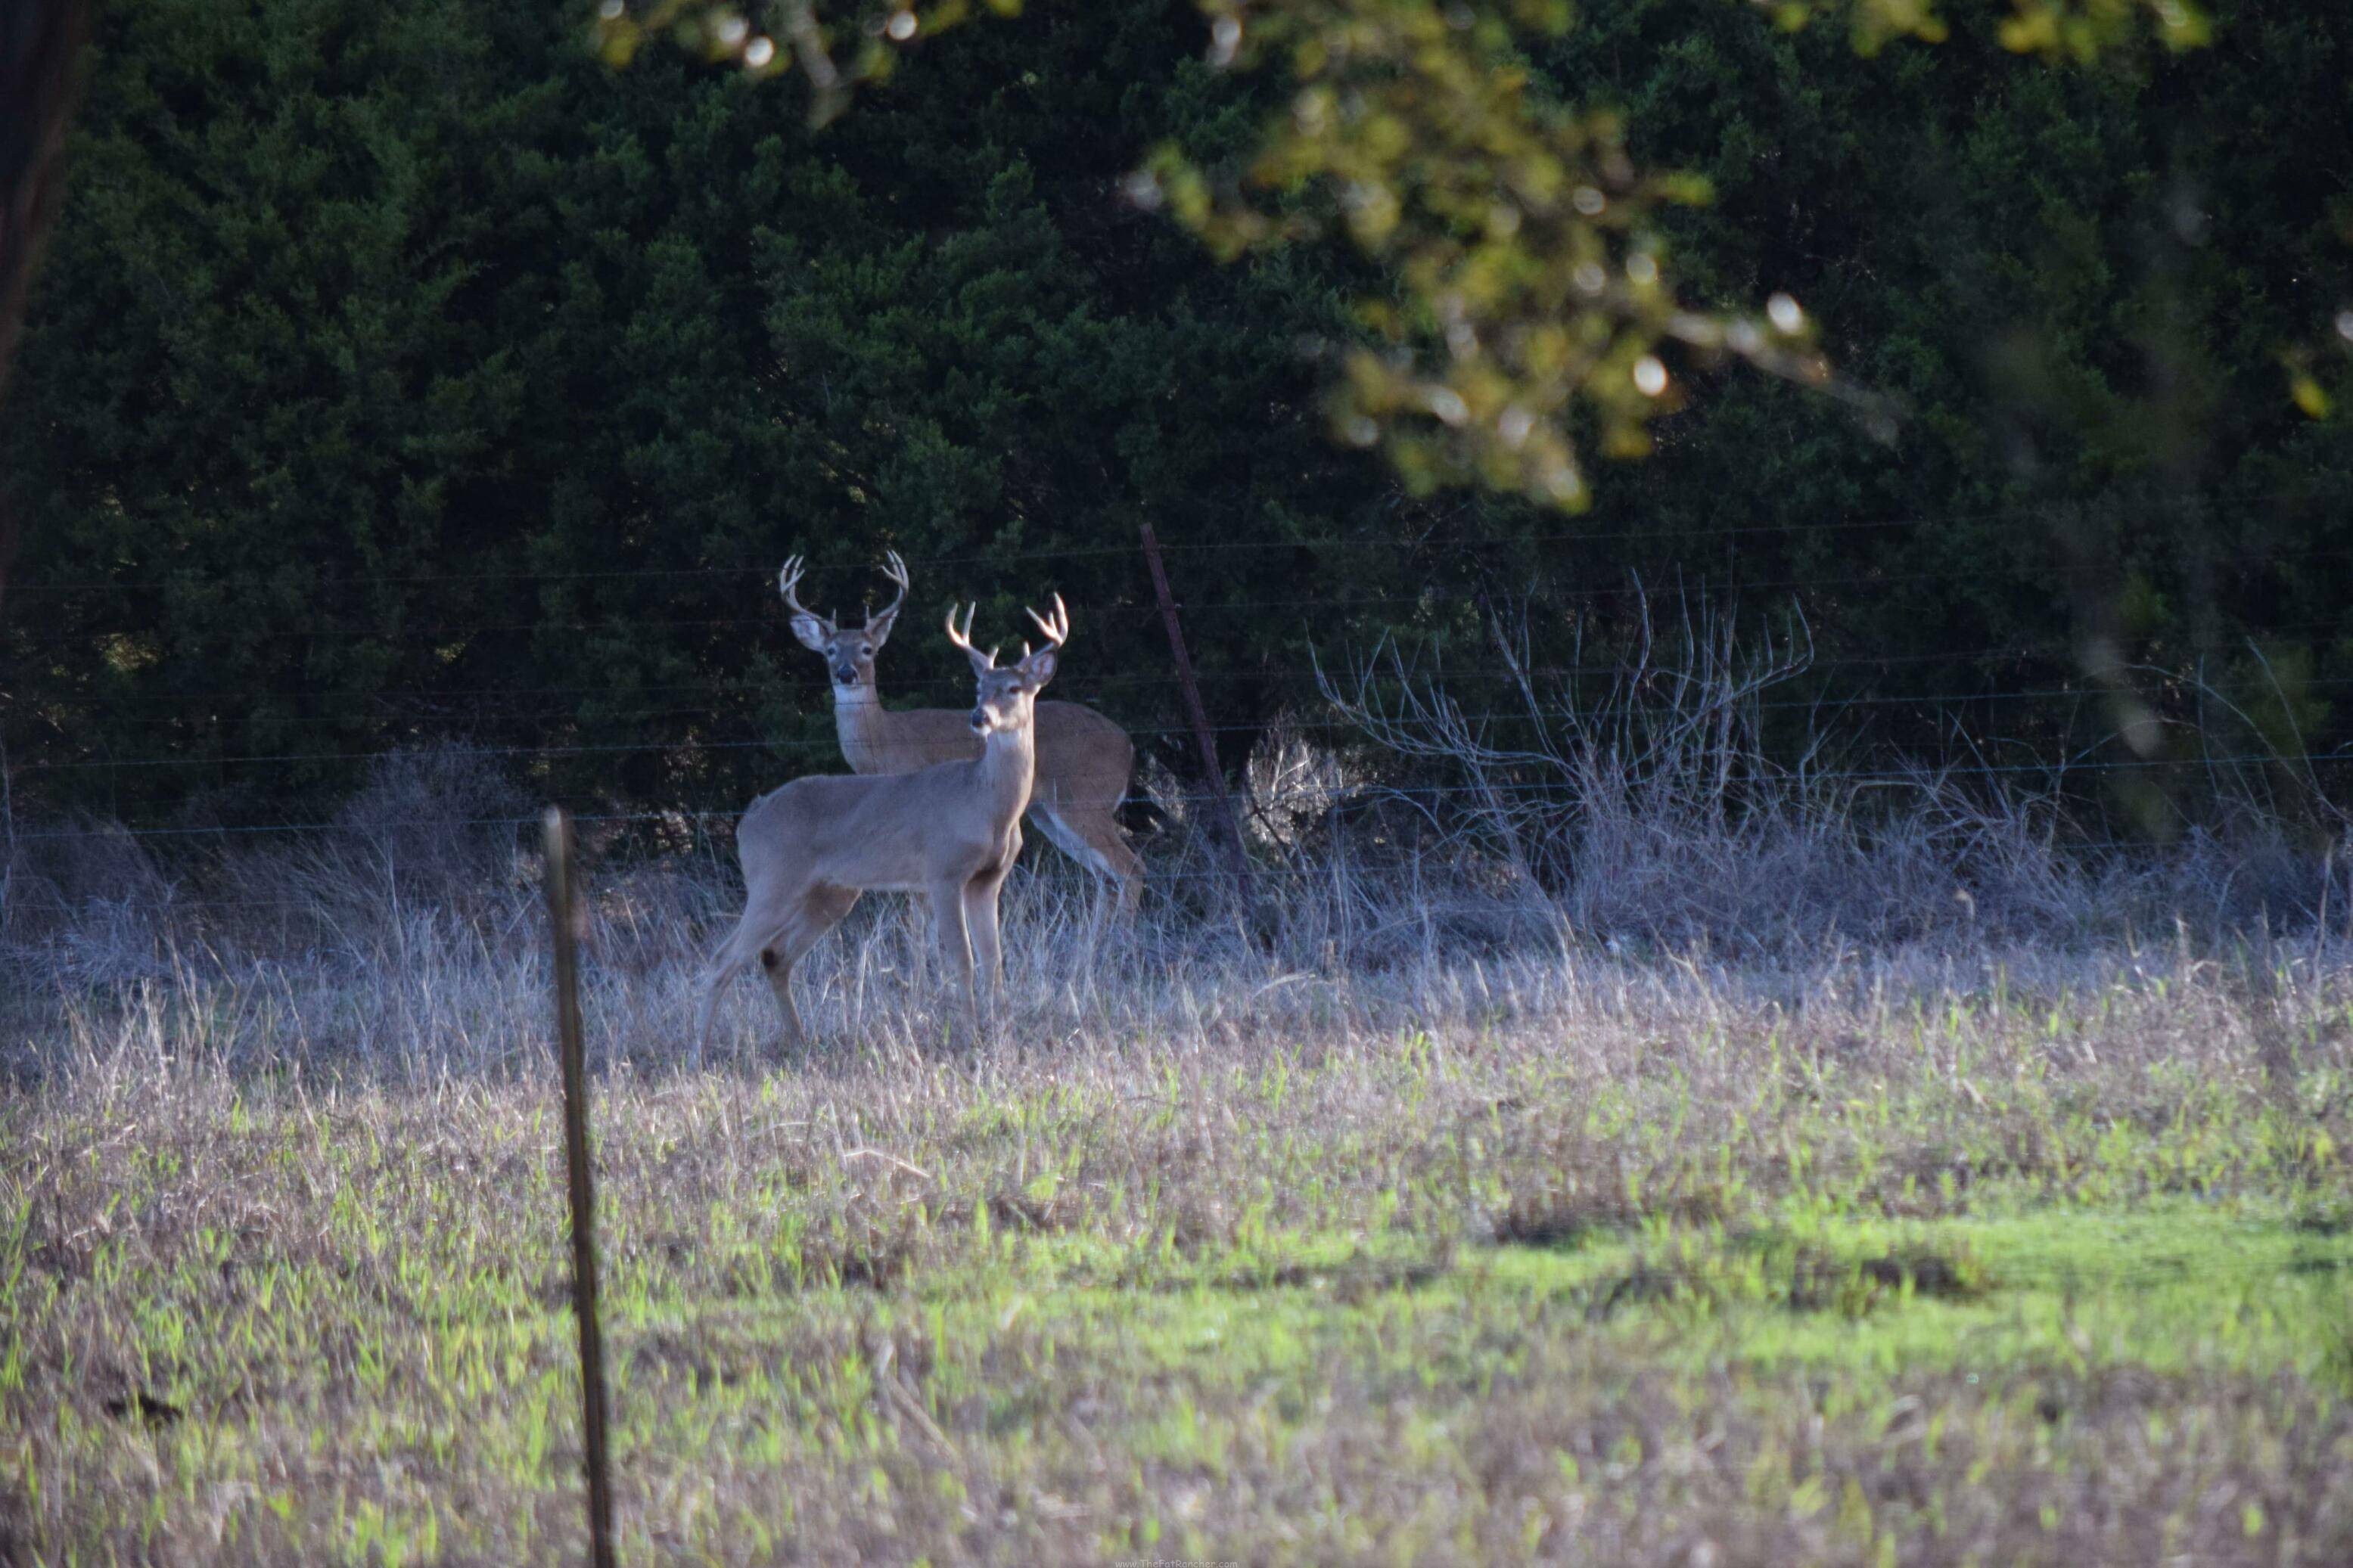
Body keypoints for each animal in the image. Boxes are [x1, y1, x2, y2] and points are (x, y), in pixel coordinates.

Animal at [694, 596, 1069, 1058]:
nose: (979, 717)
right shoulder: (943, 872)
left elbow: (993, 960)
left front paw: (1003, 1035)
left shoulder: (988, 880)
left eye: (1014, 689)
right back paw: (696, 1055)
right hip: (772, 880)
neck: (986, 805)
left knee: (776, 956)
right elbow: (962, 959)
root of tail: (749, 820)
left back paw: (802, 1043)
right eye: (979, 688)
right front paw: (970, 1035)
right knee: (723, 958)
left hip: (831, 893)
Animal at [779, 552, 1143, 913]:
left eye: (867, 650)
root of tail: (1127, 744)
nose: (846, 673)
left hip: (1084, 797)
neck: (883, 744)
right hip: (1049, 812)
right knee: (1105, 875)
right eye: (830, 651)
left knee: (1129, 867)